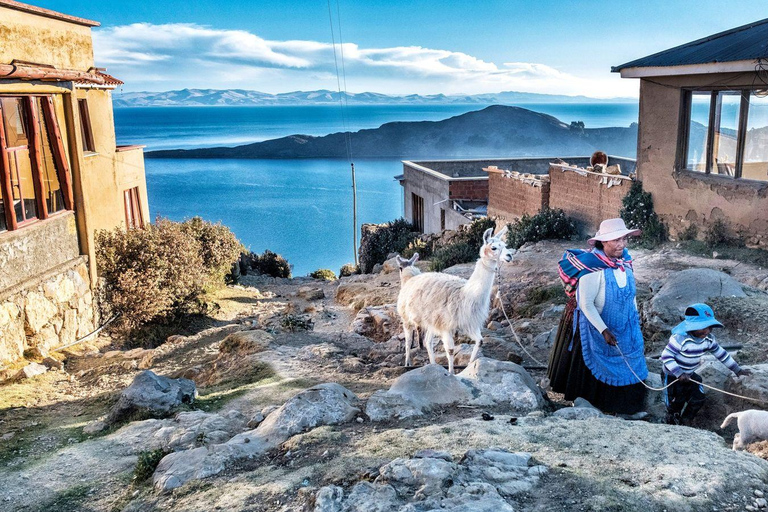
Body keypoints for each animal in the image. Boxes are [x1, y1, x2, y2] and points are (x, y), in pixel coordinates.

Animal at [396, 226, 516, 374]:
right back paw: (408, 363)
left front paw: (470, 365)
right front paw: (451, 373)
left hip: (431, 320)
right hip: (407, 317)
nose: (509, 255)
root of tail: (411, 278)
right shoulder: (446, 325)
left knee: (428, 342)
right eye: (493, 247)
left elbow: (480, 341)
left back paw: (433, 366)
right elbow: (451, 350)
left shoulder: (468, 323)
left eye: (505, 245)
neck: (466, 294)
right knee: (408, 341)